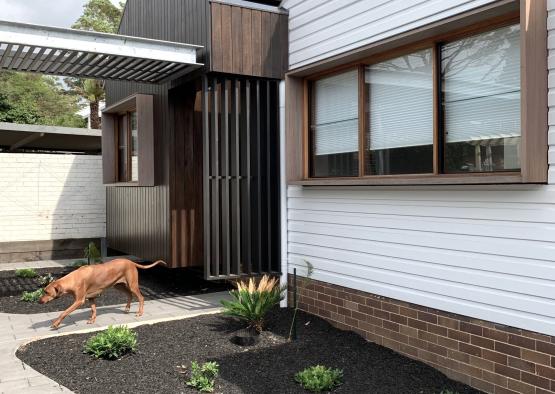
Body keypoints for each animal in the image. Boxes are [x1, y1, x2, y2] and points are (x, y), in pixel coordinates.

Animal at [38, 260, 166, 328]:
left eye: (46, 292)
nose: (39, 301)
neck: (72, 279)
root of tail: (131, 262)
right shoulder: (91, 297)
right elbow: (93, 309)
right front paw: (92, 320)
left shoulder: (79, 300)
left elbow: (64, 312)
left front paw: (56, 323)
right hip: (118, 285)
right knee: (129, 294)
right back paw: (127, 308)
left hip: (132, 284)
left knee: (141, 297)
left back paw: (139, 312)